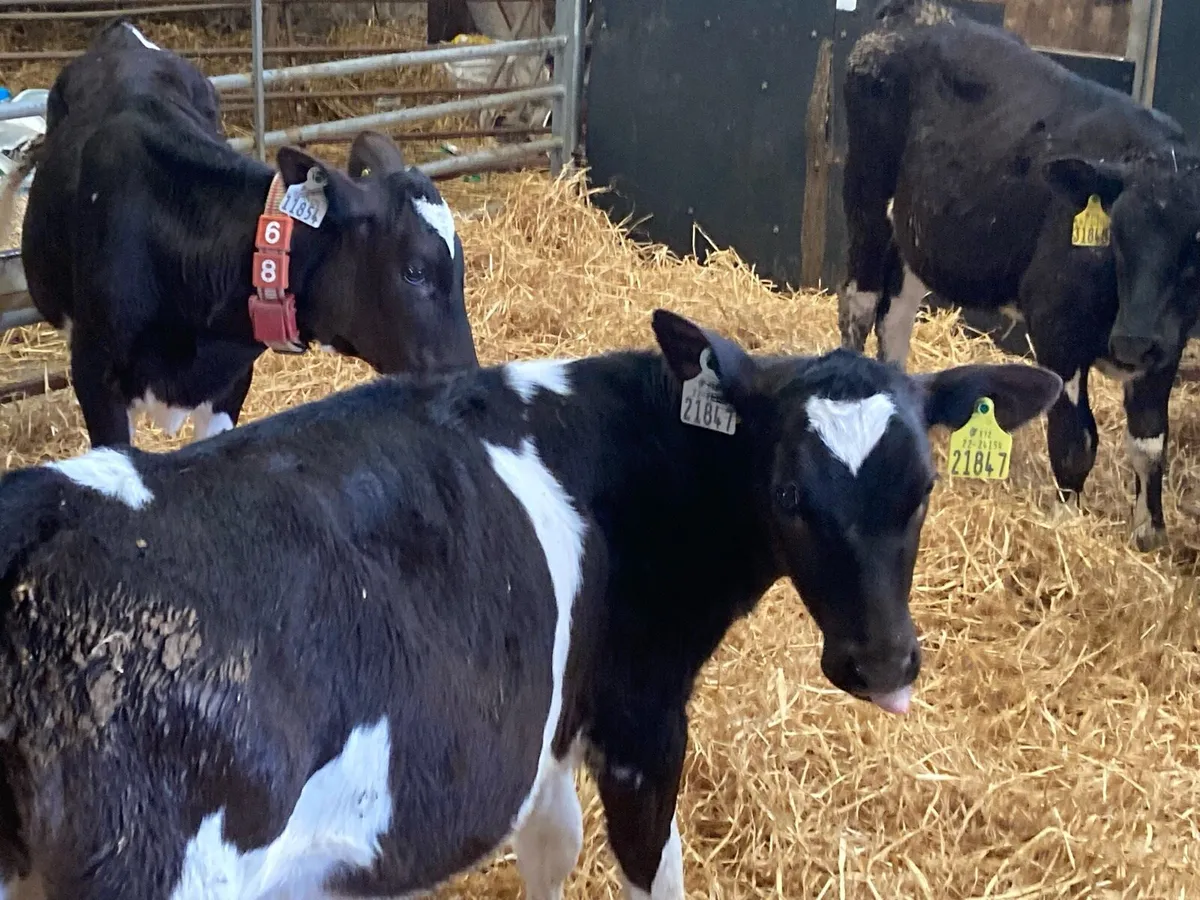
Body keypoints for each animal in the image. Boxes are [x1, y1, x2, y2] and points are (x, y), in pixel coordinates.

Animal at [0, 307, 1061, 900]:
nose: (882, 662)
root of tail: (42, 514)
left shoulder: (555, 717)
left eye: (922, 488)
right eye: (791, 494)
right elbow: (650, 865)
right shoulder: (639, 719)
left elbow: (550, 845)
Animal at [838, 0, 1200, 552]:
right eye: (1117, 234)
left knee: (894, 319)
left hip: (917, 233)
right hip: (865, 198)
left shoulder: (1169, 345)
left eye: (1196, 243)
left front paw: (1149, 532)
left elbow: (1149, 442)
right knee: (859, 307)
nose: (1133, 341)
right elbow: (1076, 439)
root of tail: (916, 13)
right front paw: (1067, 526)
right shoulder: (1057, 328)